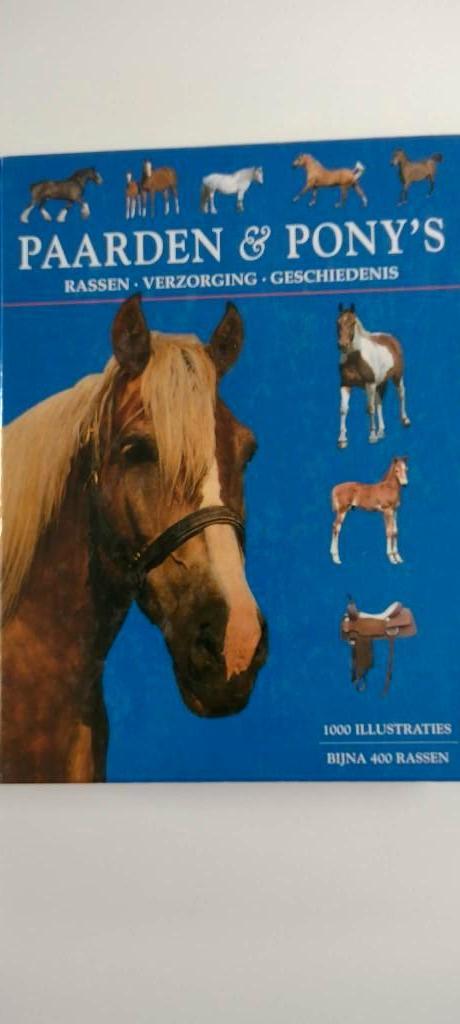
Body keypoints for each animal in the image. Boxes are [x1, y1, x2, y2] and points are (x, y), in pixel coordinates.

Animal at [336, 304, 411, 449]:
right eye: (338, 323)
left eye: (352, 323)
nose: (342, 345)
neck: (355, 359)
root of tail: (391, 338)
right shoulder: (345, 385)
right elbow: (343, 409)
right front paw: (342, 440)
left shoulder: (369, 384)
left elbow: (370, 408)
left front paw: (372, 436)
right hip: (380, 383)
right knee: (379, 403)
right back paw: (381, 431)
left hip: (397, 377)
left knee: (401, 394)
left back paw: (405, 420)